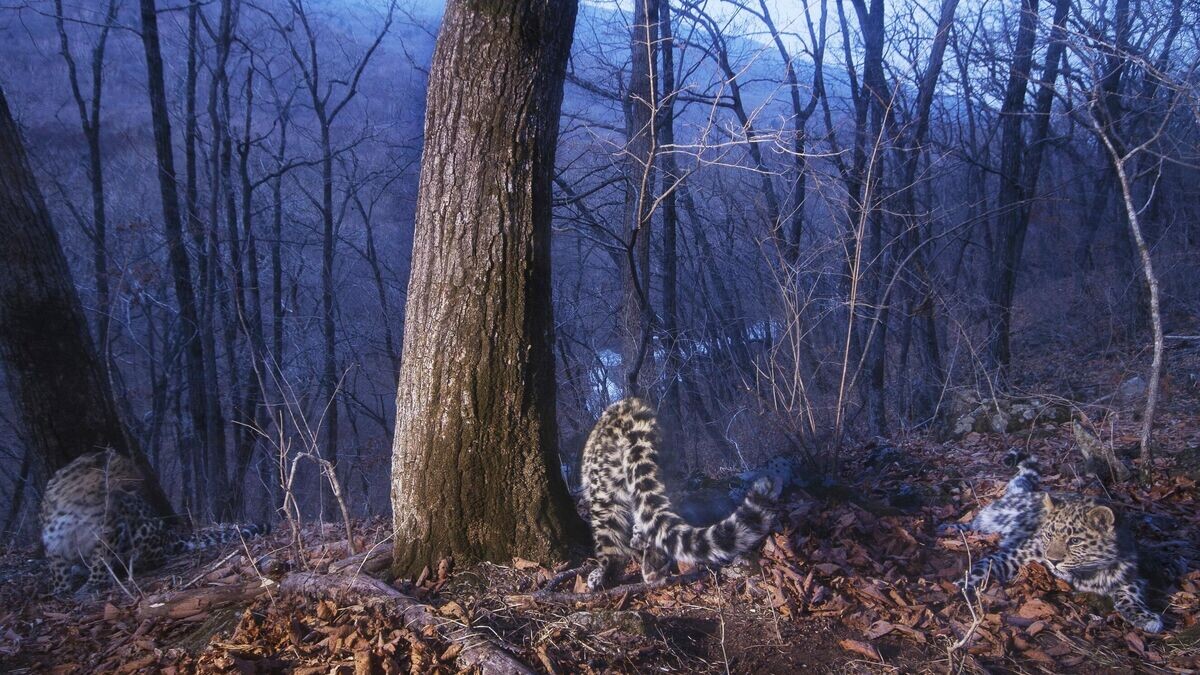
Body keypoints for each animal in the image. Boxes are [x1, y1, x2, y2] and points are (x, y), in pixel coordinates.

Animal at [42, 449, 270, 590]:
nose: (144, 484)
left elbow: (101, 559)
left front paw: (92, 585)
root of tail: (167, 535)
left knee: (156, 557)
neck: (80, 504)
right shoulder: (52, 536)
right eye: (125, 471)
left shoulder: (110, 528)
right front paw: (60, 589)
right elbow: (56, 565)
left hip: (142, 530)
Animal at [578, 396, 777, 586]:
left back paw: (602, 576)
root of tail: (636, 419)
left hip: (605, 496)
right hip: (666, 480)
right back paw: (653, 568)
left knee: (612, 548)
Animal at [945, 451, 1161, 629]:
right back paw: (950, 528)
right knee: (973, 523)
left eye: (1074, 541)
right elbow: (982, 569)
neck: (1085, 575)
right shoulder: (1015, 555)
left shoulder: (1129, 571)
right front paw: (960, 586)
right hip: (993, 517)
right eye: (1049, 535)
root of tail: (1026, 493)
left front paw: (1145, 616)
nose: (1053, 561)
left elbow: (1130, 592)